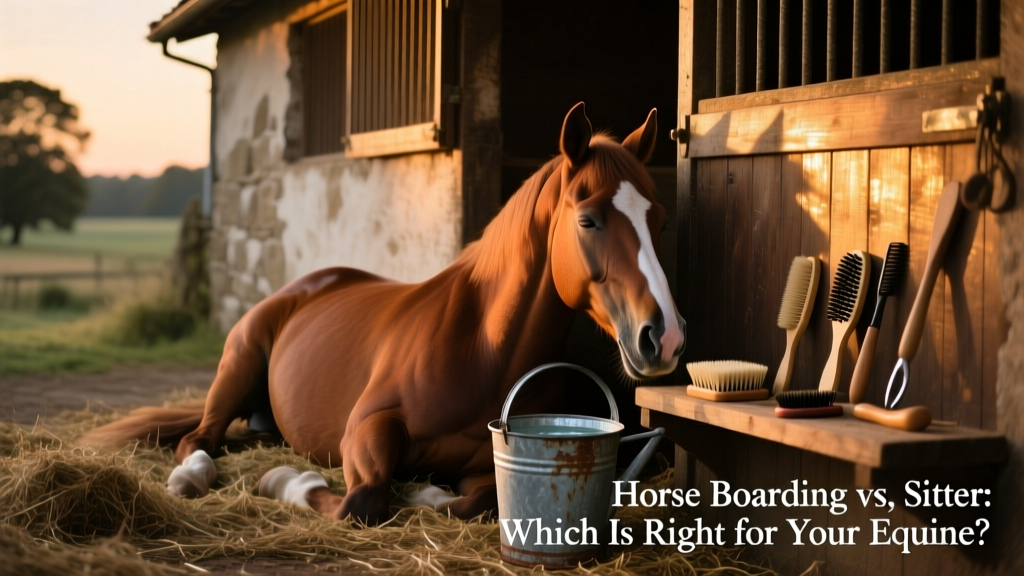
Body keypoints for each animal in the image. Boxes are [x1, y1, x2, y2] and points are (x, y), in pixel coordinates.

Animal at [83, 103, 686, 525]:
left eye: (659, 219)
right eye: (588, 220)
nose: (665, 338)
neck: (482, 351)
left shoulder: (490, 463)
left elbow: (469, 503)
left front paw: (426, 488)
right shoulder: (367, 428)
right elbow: (363, 502)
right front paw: (287, 483)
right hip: (238, 366)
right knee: (199, 439)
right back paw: (192, 477)